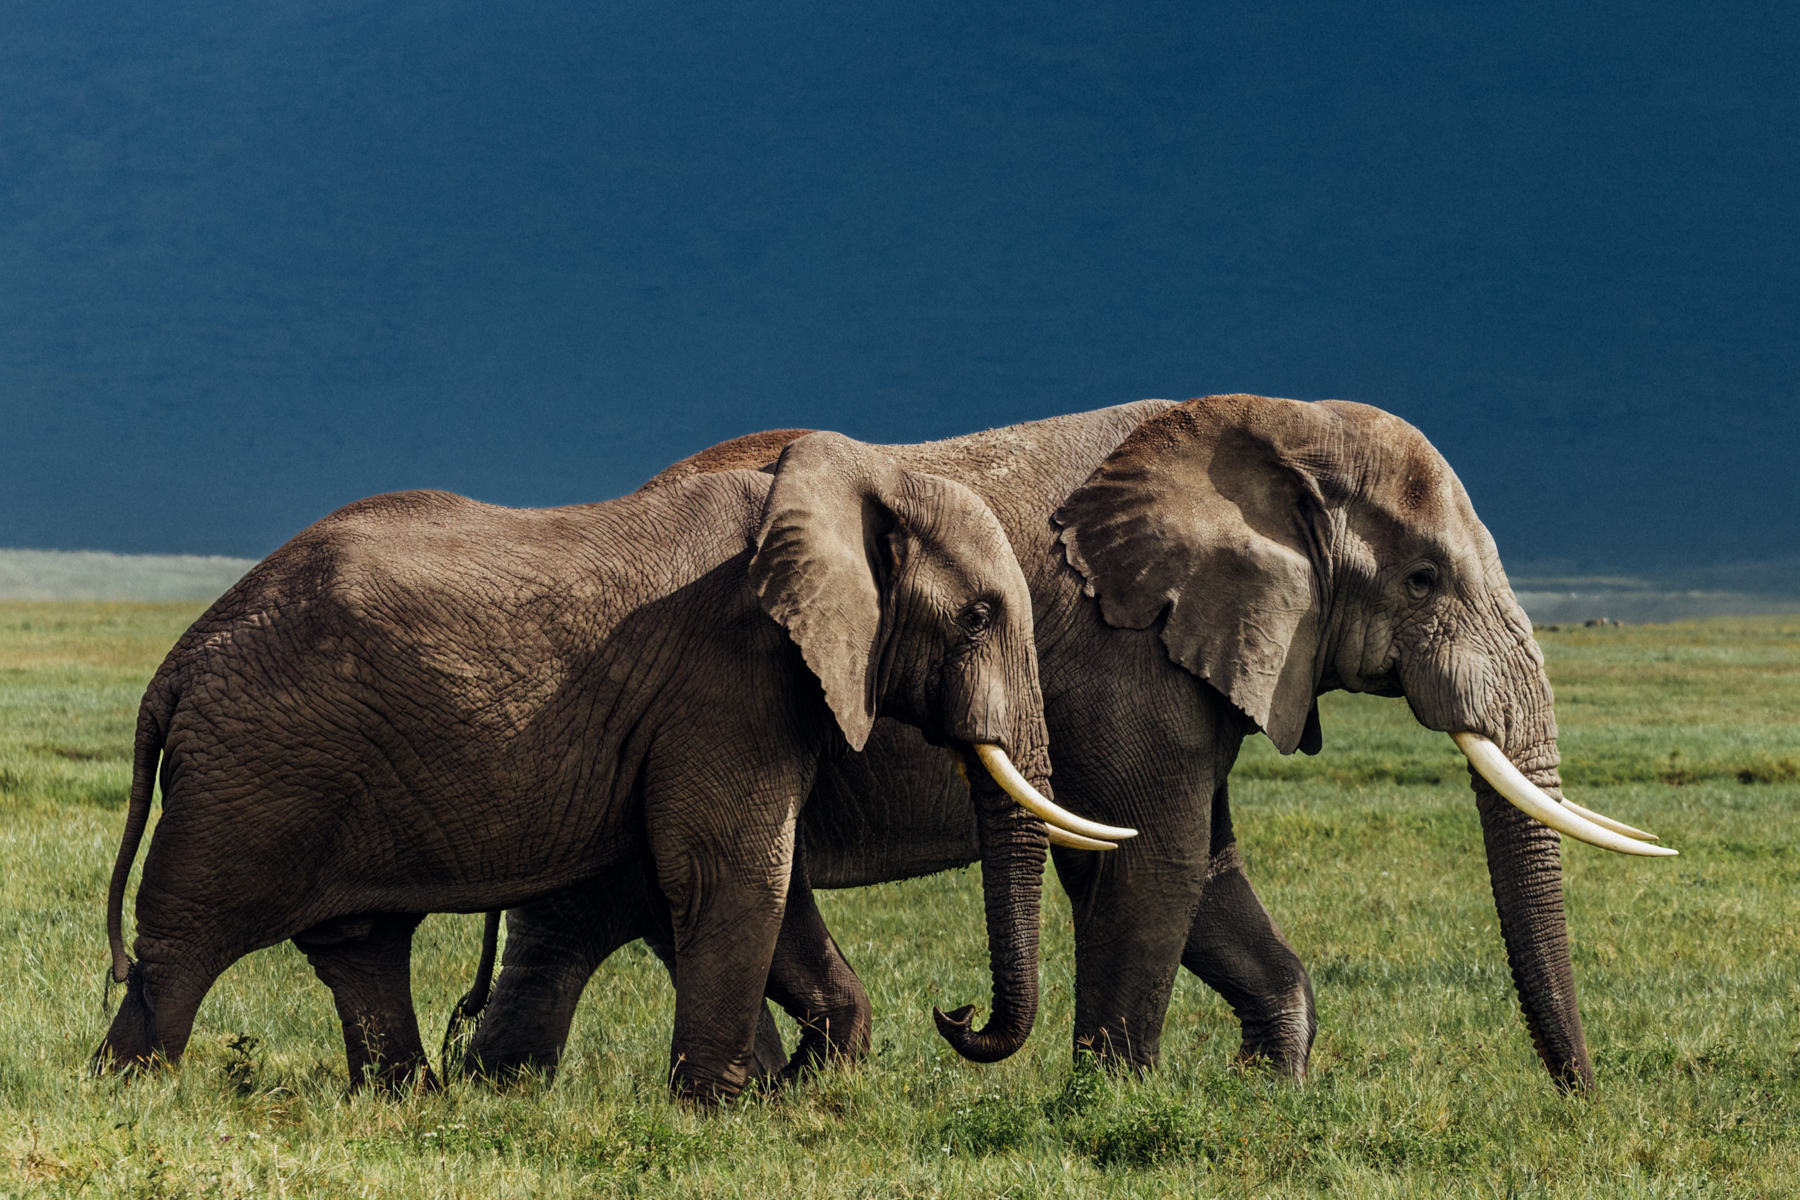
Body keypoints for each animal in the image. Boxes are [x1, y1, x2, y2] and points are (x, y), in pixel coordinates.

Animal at [93, 432, 1122, 1103]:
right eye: (980, 617)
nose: (955, 1015)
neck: (846, 484)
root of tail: (175, 666)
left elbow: (767, 884)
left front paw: (794, 1093)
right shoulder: (729, 680)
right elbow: (735, 872)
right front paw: (716, 1112)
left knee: (361, 946)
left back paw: (413, 1104)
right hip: (254, 773)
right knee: (187, 941)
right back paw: (134, 1096)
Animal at [457, 395, 1673, 1094]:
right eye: (1423, 580)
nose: (1581, 1097)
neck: (1270, 426)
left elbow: (1206, 866)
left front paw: (1263, 1089)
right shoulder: (1127, 650)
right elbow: (1154, 858)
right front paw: (1110, 1099)